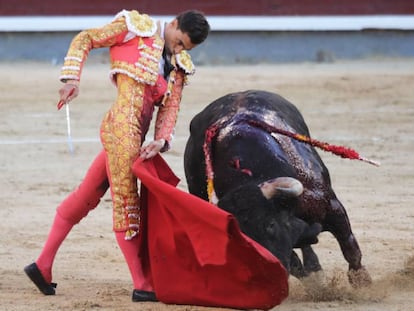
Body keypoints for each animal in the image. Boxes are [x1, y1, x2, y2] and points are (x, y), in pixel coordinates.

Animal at [184, 89, 372, 288]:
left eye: (271, 225)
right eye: (238, 238)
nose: (262, 276)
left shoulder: (330, 207)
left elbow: (349, 246)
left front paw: (362, 281)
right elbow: (295, 262)